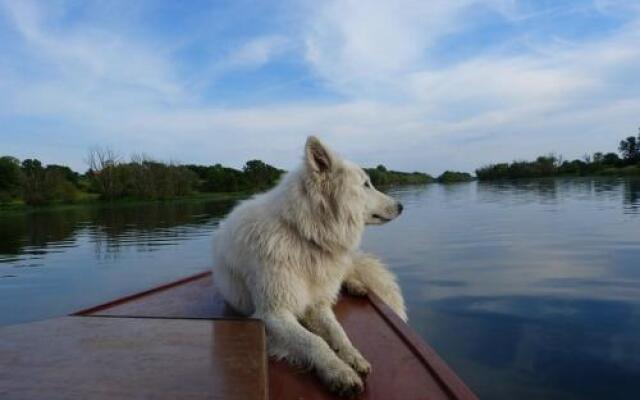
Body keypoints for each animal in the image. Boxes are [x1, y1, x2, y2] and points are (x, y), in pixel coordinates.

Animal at [214, 135, 404, 396]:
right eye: (366, 184)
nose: (401, 206)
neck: (304, 235)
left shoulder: (318, 303)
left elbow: (338, 332)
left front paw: (352, 356)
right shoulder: (273, 314)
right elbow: (316, 341)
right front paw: (339, 371)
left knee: (347, 273)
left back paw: (356, 286)